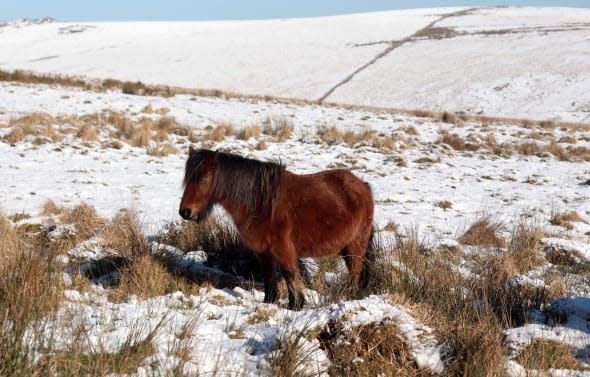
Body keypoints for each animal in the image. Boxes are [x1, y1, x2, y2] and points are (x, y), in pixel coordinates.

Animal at [180, 147, 374, 308]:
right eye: (187, 179)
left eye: (203, 179)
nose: (185, 212)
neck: (261, 205)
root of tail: (362, 186)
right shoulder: (263, 251)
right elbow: (269, 276)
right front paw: (270, 301)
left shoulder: (284, 249)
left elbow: (289, 274)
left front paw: (295, 305)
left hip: (356, 246)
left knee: (355, 273)